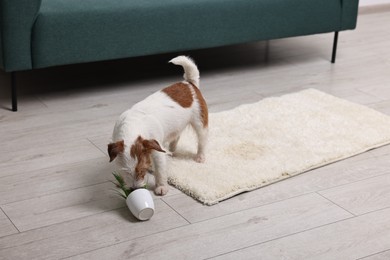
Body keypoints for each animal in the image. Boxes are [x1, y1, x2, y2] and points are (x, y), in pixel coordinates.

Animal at [108, 56, 209, 195]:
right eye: (126, 172)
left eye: (142, 171)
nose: (135, 189)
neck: (132, 126)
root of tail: (189, 83)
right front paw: (120, 182)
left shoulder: (157, 150)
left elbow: (160, 170)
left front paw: (161, 187)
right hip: (176, 125)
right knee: (176, 135)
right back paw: (171, 150)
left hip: (200, 121)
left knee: (202, 139)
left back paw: (200, 157)